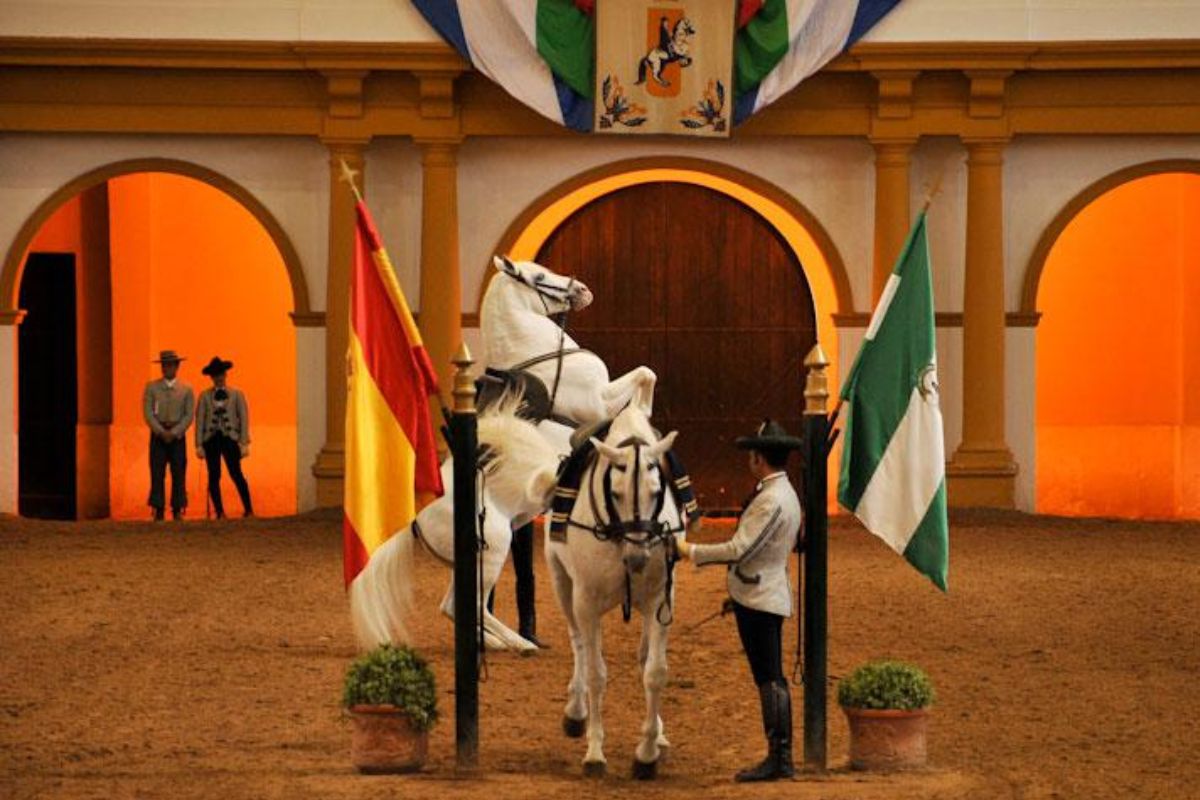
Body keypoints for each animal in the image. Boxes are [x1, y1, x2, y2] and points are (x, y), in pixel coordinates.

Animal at [544, 400, 686, 782]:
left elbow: (655, 672)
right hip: (562, 585)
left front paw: (647, 753)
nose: (638, 558)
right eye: (616, 493)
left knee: (643, 657)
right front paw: (595, 753)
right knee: (578, 643)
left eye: (657, 492)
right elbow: (596, 674)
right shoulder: (586, 602)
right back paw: (575, 711)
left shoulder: (660, 600)